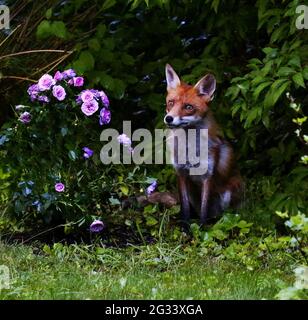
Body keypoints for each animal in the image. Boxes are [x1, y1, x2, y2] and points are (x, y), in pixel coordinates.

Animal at [165, 64, 242, 225]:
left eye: (188, 107)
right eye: (171, 103)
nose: (168, 118)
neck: (189, 148)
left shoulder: (208, 175)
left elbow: (204, 209)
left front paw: (201, 228)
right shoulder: (181, 173)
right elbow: (185, 208)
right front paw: (186, 227)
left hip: (228, 192)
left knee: (220, 214)